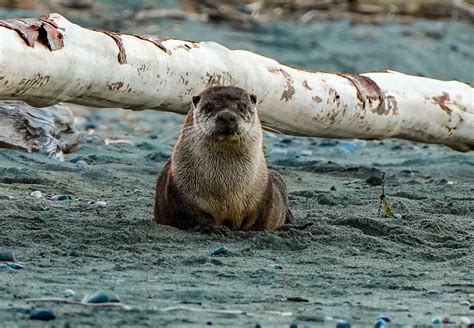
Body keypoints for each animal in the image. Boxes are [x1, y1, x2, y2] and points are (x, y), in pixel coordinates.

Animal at [154, 86, 290, 232]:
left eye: (242, 107)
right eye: (208, 107)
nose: (226, 116)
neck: (227, 189)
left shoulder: (263, 197)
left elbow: (258, 219)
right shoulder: (179, 191)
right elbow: (192, 215)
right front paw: (213, 228)